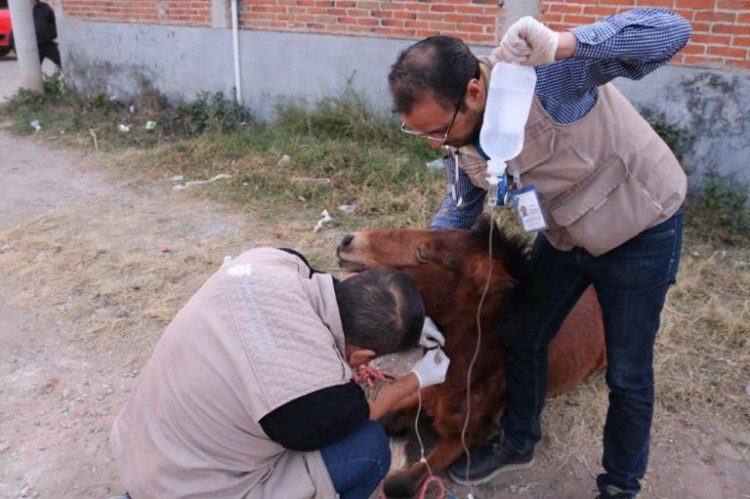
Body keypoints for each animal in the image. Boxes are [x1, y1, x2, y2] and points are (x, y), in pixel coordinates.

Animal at [336, 215, 606, 497]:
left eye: (423, 253)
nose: (348, 241)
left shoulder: (467, 438)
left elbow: (399, 484)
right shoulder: (426, 395)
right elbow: (383, 419)